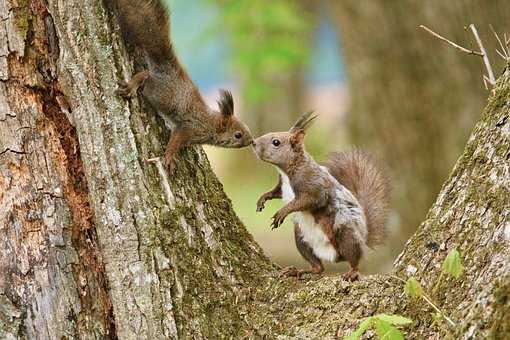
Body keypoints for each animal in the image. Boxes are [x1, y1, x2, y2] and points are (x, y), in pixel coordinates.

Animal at [107, 0, 253, 170]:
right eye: (238, 135)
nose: (252, 141)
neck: (211, 124)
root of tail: (164, 67)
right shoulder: (190, 128)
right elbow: (176, 140)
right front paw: (169, 157)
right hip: (160, 93)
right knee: (145, 75)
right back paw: (131, 87)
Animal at [253, 112, 388, 282]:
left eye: (276, 142)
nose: (253, 142)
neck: (287, 171)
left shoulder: (314, 186)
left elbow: (308, 200)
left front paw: (282, 212)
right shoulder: (281, 186)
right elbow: (275, 192)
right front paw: (263, 199)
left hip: (346, 235)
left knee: (354, 258)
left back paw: (352, 272)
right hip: (302, 240)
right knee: (318, 268)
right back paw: (297, 271)